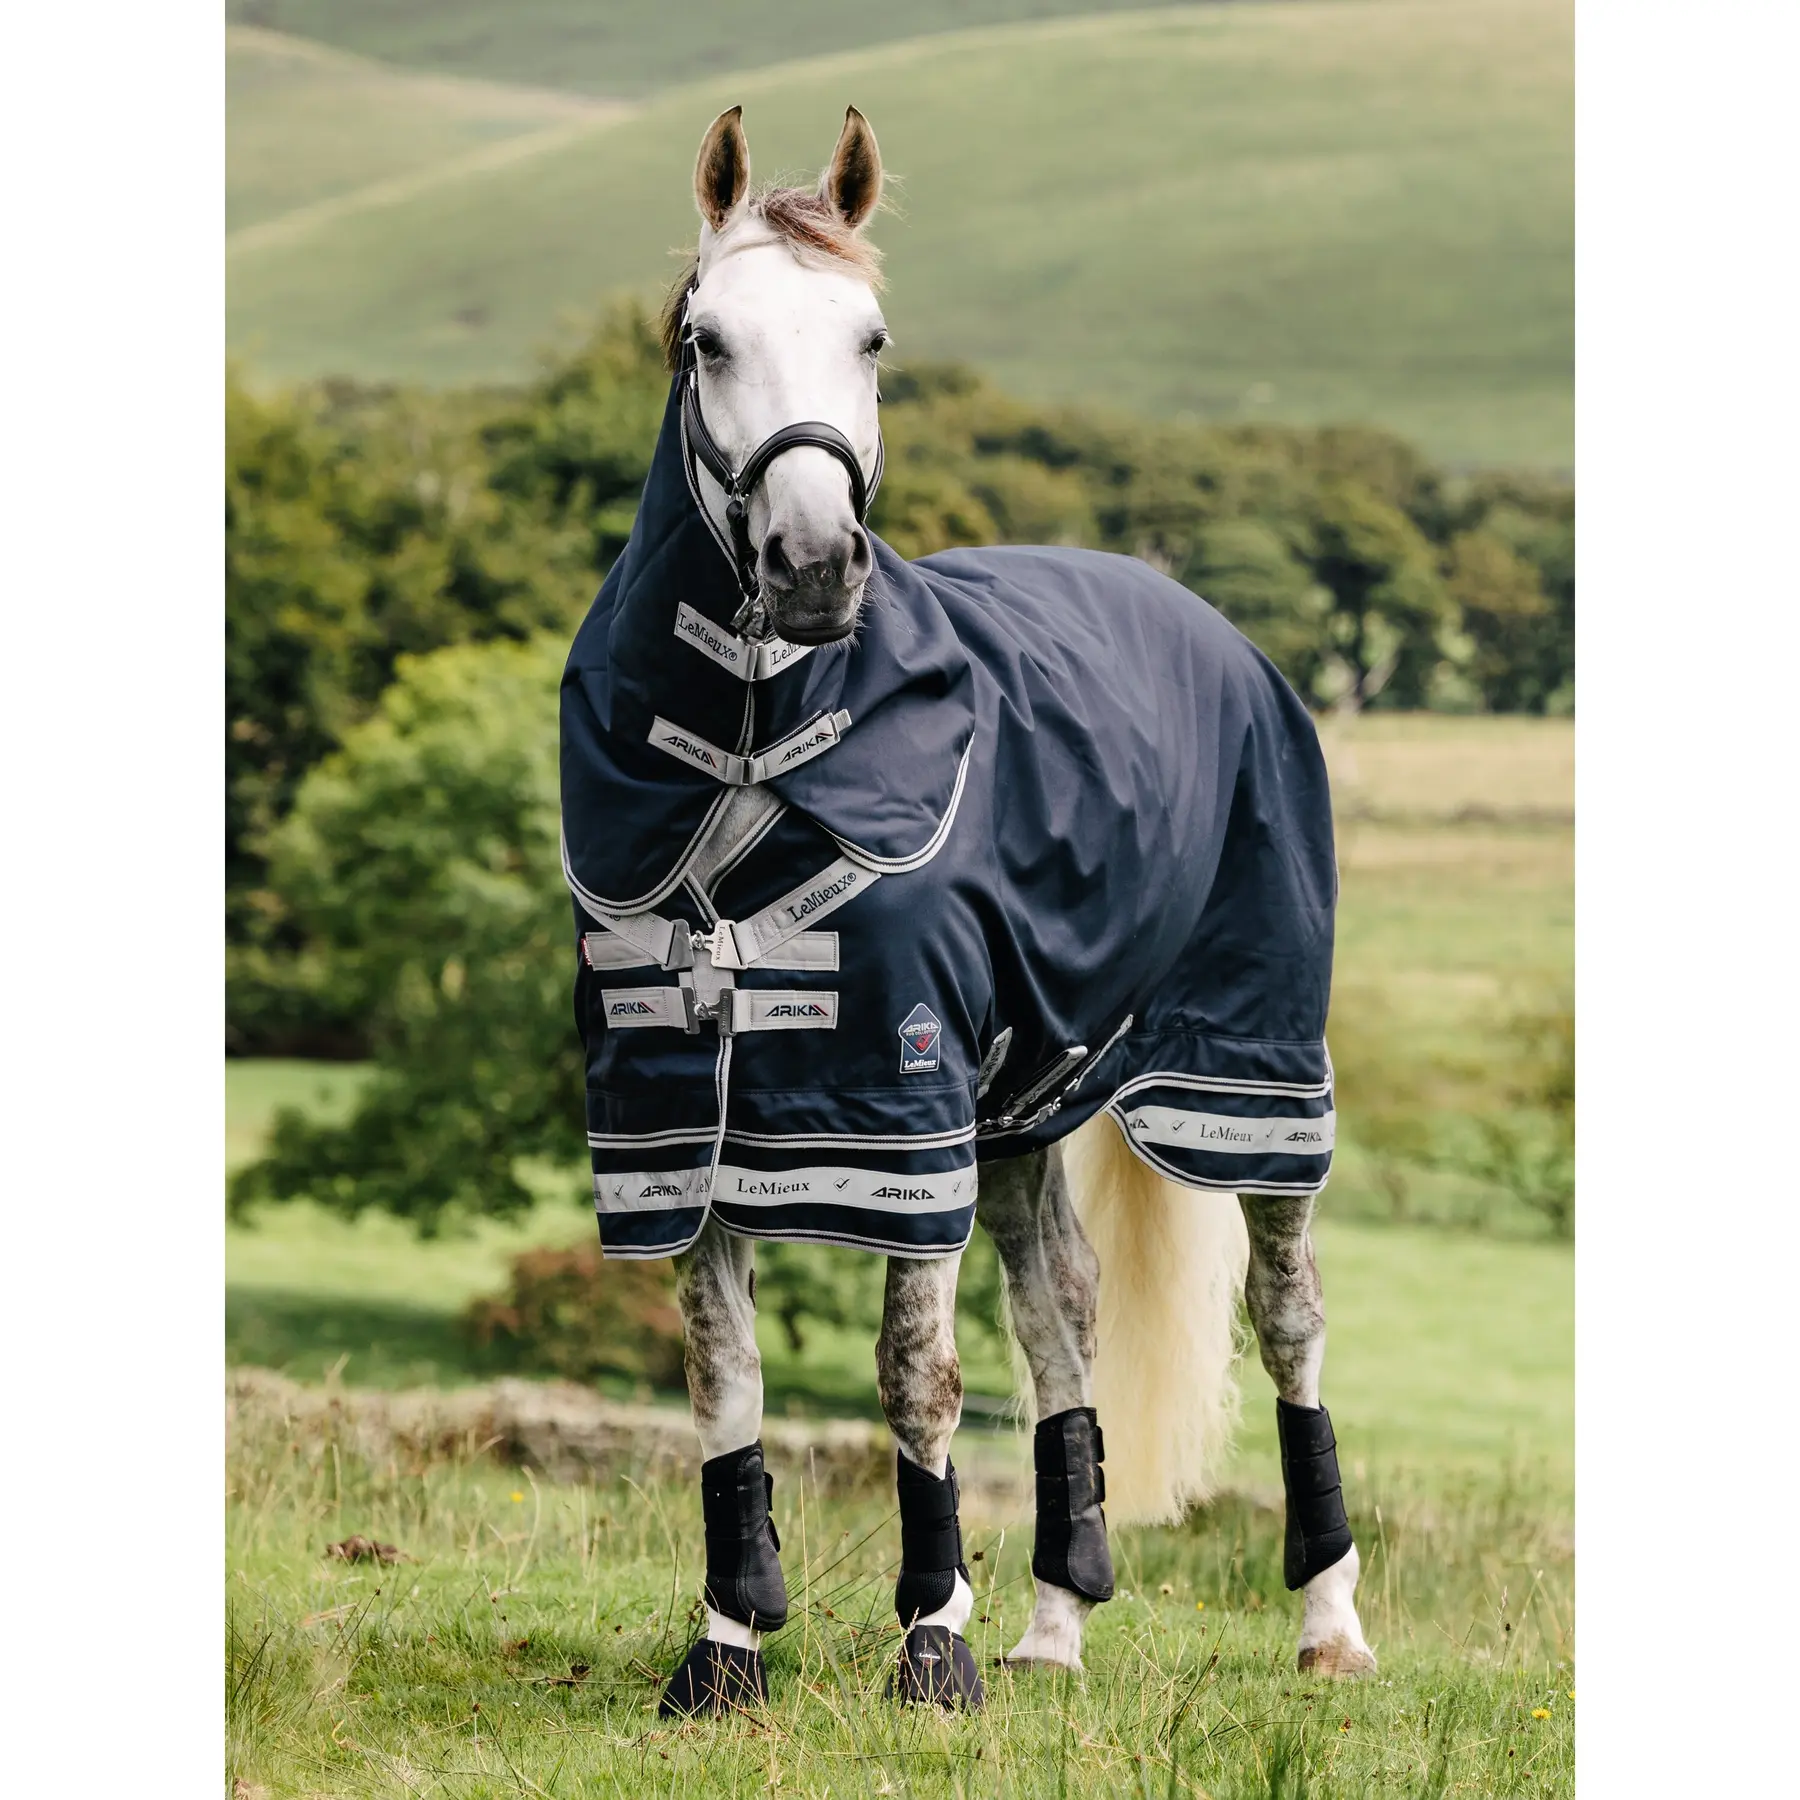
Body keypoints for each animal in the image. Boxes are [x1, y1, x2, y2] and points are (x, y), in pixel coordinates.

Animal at [559, 104, 1375, 1715]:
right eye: (705, 338)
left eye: (871, 338)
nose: (815, 567)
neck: (749, 753)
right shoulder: (674, 1112)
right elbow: (723, 1375)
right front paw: (727, 1649)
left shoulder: (903, 1100)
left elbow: (914, 1373)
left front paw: (930, 1645)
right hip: (1027, 1103)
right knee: (1062, 1311)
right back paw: (1055, 1626)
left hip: (1249, 1071)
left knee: (1289, 1320)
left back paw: (1328, 1622)